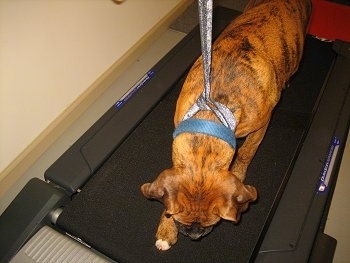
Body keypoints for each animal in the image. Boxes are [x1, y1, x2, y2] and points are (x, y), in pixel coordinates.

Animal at [141, 0, 310, 252]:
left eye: (214, 222)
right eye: (179, 219)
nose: (194, 235)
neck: (211, 115)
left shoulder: (261, 126)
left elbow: (246, 153)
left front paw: (239, 174)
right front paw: (166, 229)